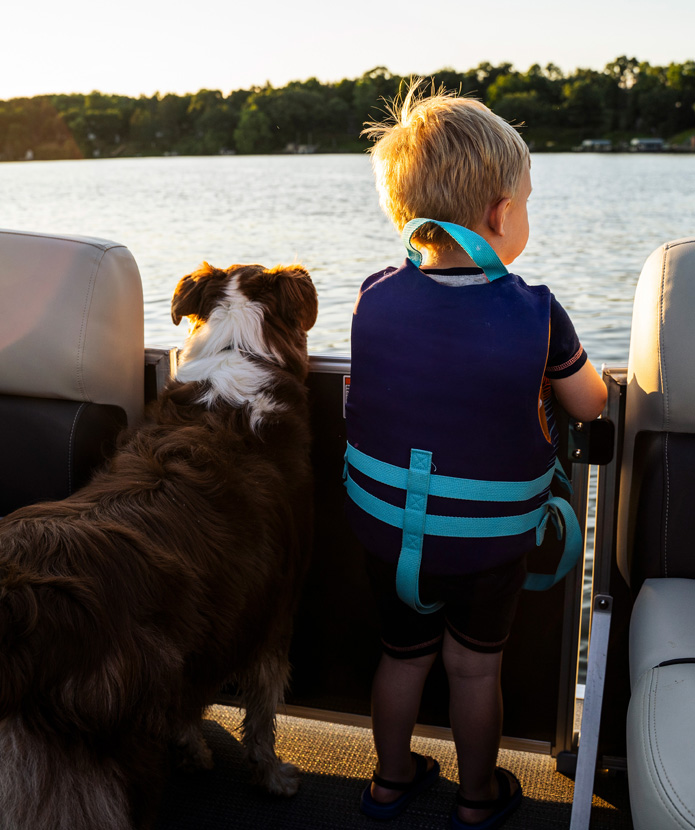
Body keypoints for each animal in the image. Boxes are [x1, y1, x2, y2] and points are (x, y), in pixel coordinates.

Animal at [0, 264, 320, 830]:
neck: (239, 349)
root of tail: (20, 609)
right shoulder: (273, 612)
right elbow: (263, 710)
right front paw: (273, 777)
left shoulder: (204, 627)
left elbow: (190, 706)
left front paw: (192, 750)